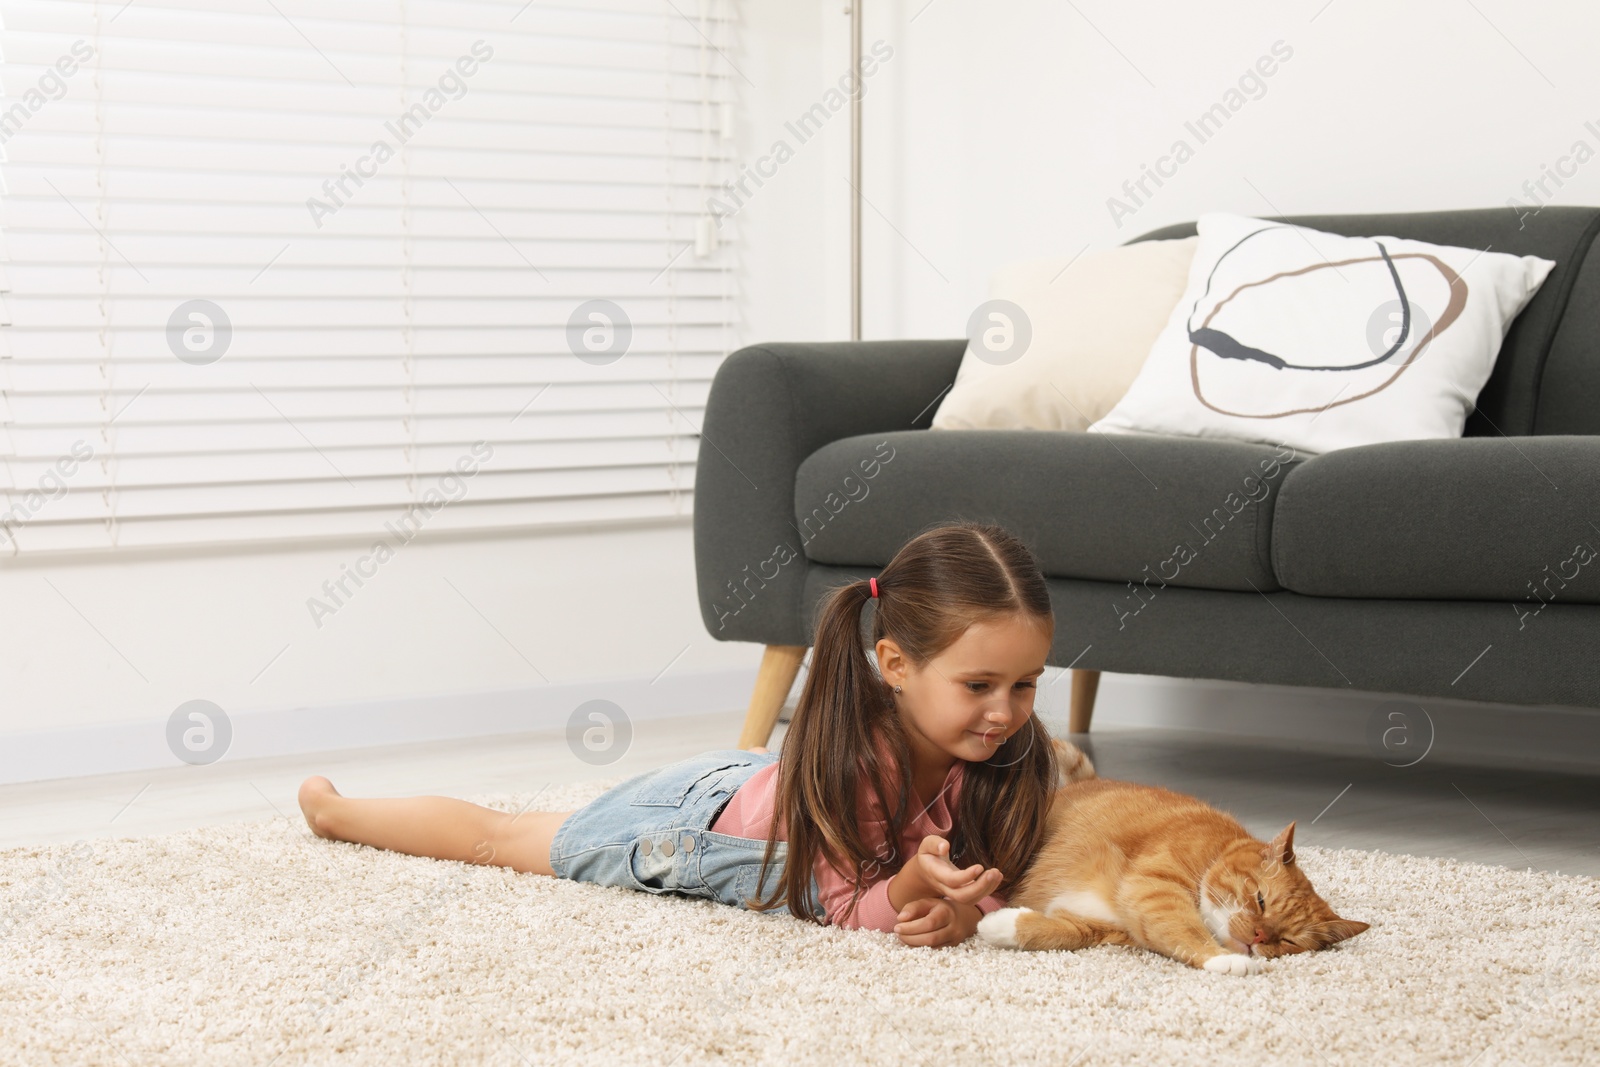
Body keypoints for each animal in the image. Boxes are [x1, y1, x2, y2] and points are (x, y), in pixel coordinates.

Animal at [979, 742, 1369, 979]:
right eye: (1260, 900)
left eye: (1288, 941)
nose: (1259, 937)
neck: (1214, 851)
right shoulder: (1155, 887)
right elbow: (1186, 929)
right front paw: (1227, 959)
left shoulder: (1098, 925)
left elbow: (1058, 933)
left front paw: (999, 925)